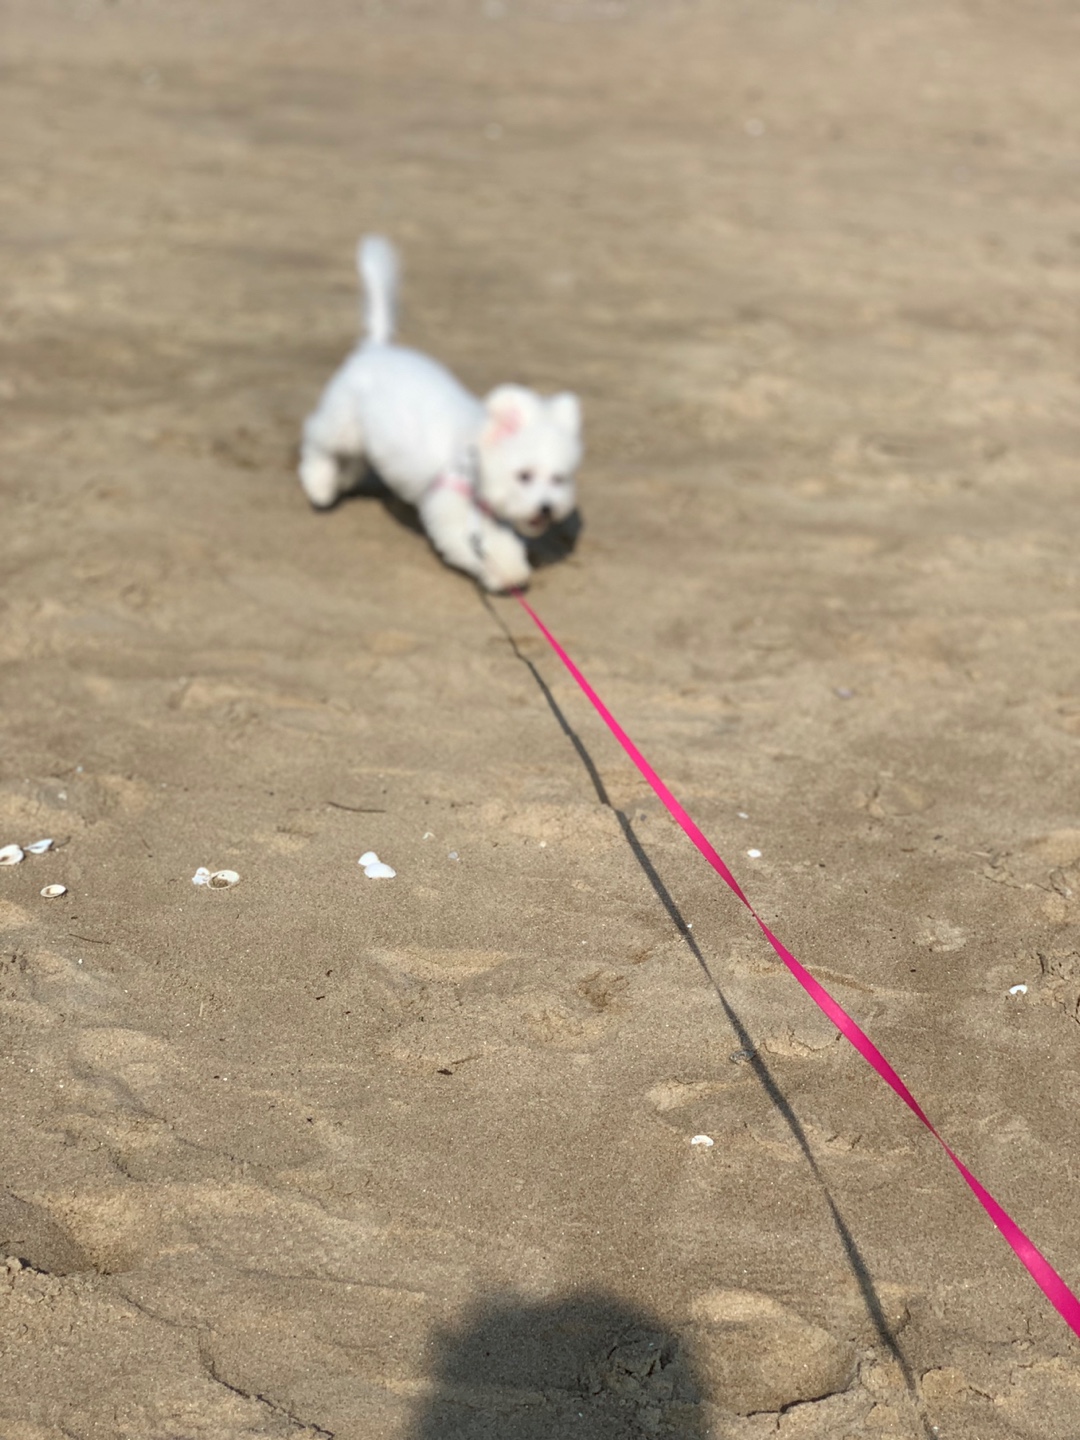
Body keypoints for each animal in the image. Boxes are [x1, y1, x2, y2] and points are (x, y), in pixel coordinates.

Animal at [300, 239, 584, 587]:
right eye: (525, 475)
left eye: (559, 478)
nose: (546, 508)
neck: (473, 456)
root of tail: (376, 348)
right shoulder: (453, 504)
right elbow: (483, 543)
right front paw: (507, 573)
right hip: (344, 425)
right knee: (318, 444)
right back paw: (320, 485)